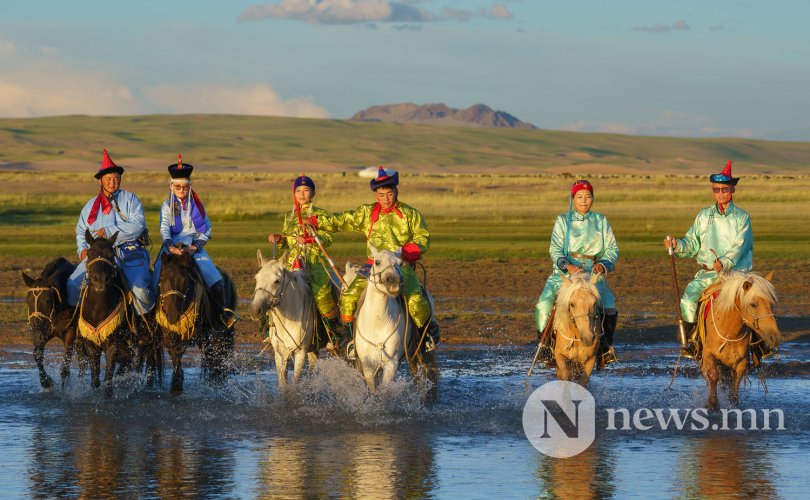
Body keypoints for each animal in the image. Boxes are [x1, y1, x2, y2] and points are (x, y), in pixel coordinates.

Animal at [21, 256, 80, 388]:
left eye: (48, 300)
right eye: (28, 300)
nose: (36, 335)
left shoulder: (71, 332)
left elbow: (65, 369)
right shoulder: (45, 331)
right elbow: (37, 354)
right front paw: (46, 381)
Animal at [155, 250, 237, 394]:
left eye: (184, 281)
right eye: (161, 280)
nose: (172, 315)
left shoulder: (210, 335)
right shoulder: (170, 335)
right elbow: (175, 356)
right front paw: (176, 385)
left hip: (223, 333)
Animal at [249, 249, 318, 386]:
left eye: (277, 281)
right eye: (256, 278)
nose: (256, 310)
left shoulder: (300, 354)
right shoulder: (279, 355)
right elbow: (283, 386)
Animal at [350, 244, 432, 392]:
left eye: (400, 263)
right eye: (377, 262)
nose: (393, 281)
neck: (377, 323)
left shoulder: (391, 364)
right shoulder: (368, 367)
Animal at [696, 272, 780, 408]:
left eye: (771, 304)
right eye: (753, 304)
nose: (775, 336)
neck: (730, 332)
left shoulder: (741, 360)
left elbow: (735, 382)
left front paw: (733, 404)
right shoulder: (708, 354)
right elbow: (713, 376)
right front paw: (712, 404)